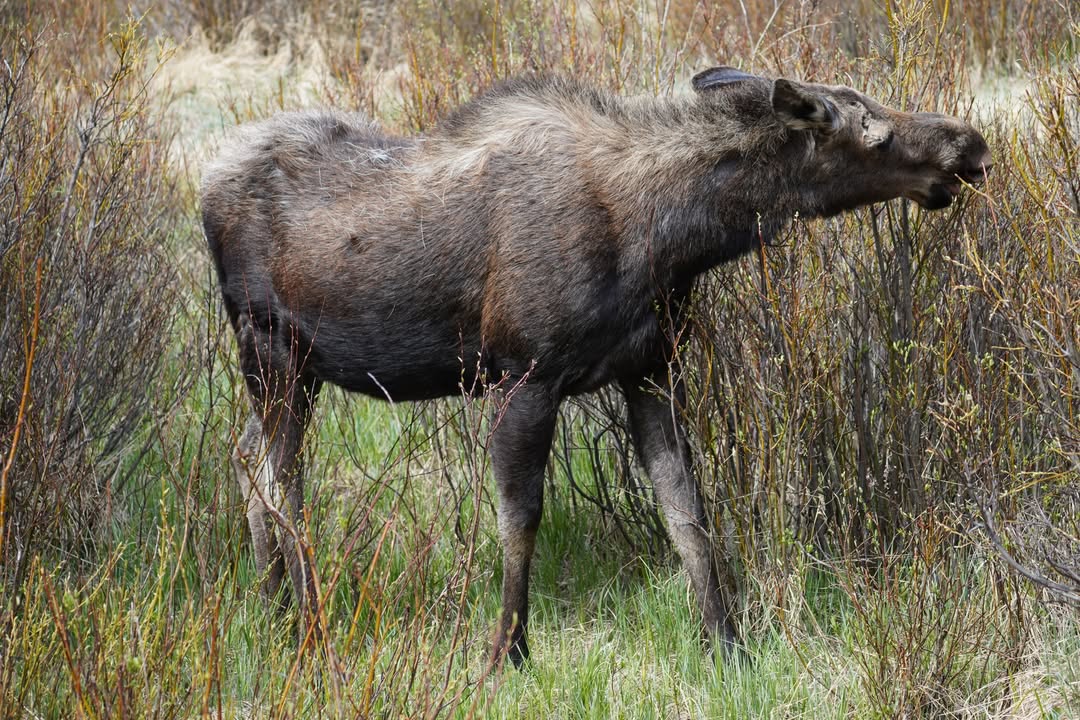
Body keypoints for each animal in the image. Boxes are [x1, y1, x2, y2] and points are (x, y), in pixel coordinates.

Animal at [201, 66, 991, 668]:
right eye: (875, 130)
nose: (972, 142)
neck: (672, 237)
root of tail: (204, 188)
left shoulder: (651, 370)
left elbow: (687, 513)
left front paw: (727, 645)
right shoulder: (524, 376)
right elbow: (520, 519)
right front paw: (506, 652)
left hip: (292, 371)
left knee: (244, 458)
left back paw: (275, 611)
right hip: (272, 351)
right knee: (280, 480)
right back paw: (310, 628)